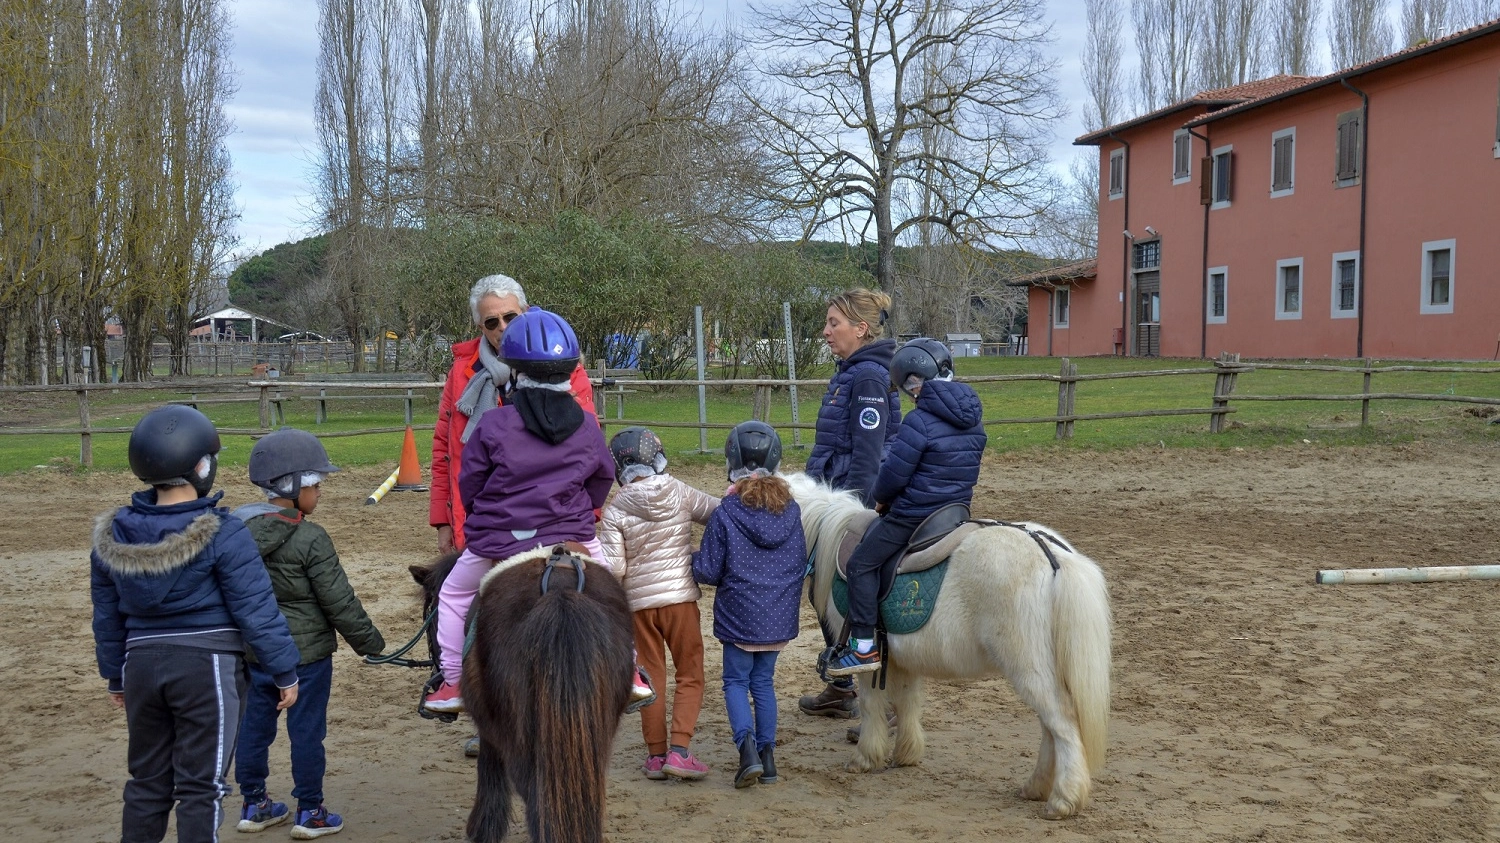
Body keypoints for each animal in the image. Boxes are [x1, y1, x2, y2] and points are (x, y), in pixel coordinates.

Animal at [411, 540, 633, 840]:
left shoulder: (490, 725)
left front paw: (483, 829)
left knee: (539, 800)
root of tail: (560, 593)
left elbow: (489, 767)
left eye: (429, 612)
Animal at [792, 474, 1110, 822]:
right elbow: (907, 702)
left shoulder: (869, 663)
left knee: (1062, 724)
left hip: (1028, 667)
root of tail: (1052, 555)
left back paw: (1063, 799)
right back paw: (1035, 787)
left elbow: (871, 704)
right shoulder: (904, 660)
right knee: (1049, 729)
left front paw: (865, 757)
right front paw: (906, 754)